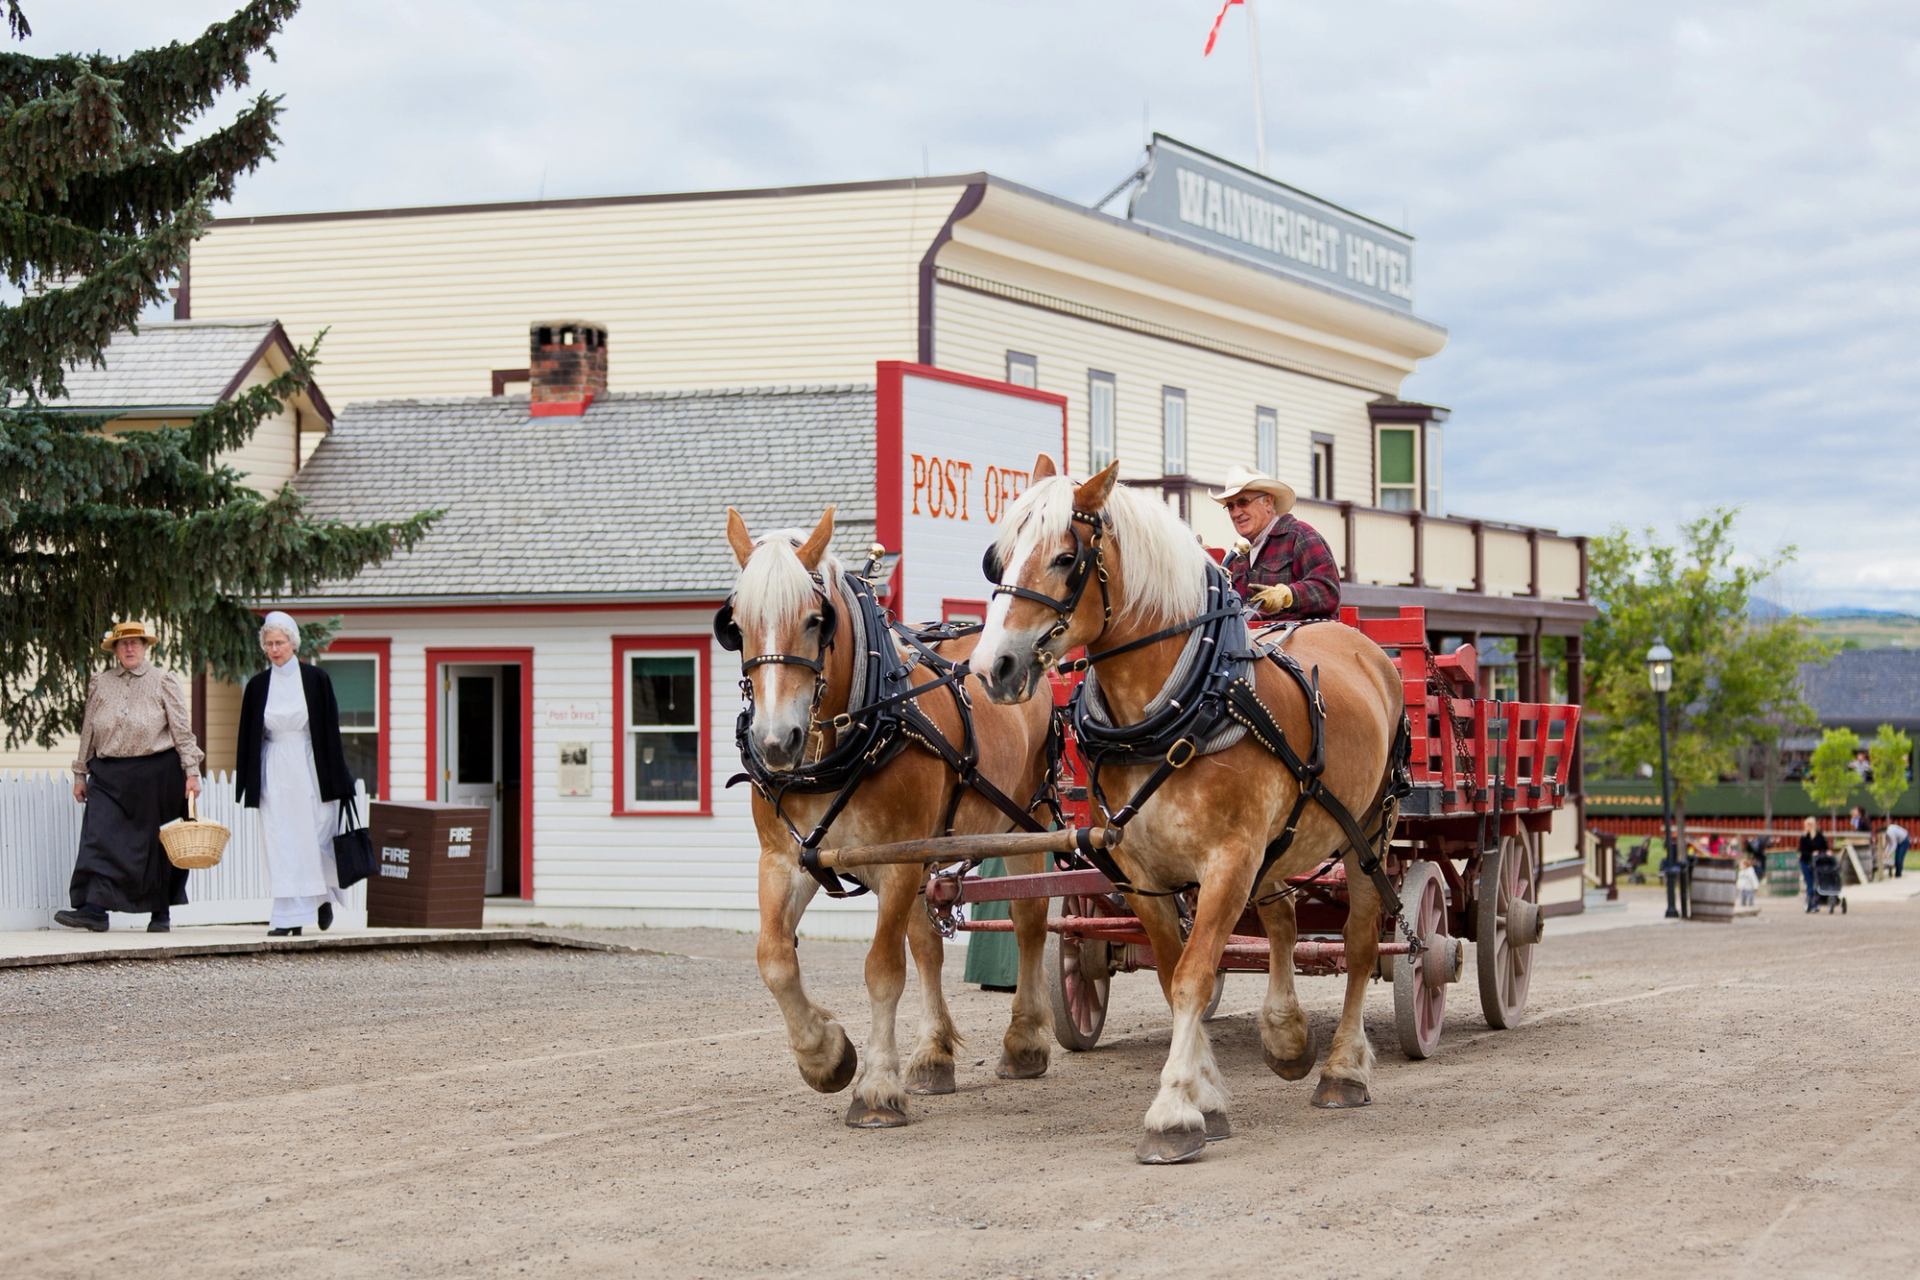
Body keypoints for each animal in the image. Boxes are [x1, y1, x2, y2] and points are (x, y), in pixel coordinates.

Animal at [721, 506, 1059, 1128]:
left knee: (1030, 918)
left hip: (1030, 817)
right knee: (928, 940)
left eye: (816, 621)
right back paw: (932, 1055)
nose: (776, 742)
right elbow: (774, 958)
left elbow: (882, 969)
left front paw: (877, 1089)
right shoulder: (785, 859)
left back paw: (1024, 1041)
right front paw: (827, 1056)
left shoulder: (896, 863)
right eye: (736, 624)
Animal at [967, 454, 1405, 1166]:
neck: (1179, 710)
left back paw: (1342, 1071)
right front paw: (1208, 1094)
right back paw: (1286, 1036)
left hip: (1368, 835)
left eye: (1066, 557)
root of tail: (1367, 649)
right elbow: (1175, 973)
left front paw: (1173, 1111)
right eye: (998, 556)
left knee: (1362, 944)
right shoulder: (1140, 872)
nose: (991, 667)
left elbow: (1196, 977)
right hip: (1279, 845)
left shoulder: (1228, 861)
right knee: (1283, 919)